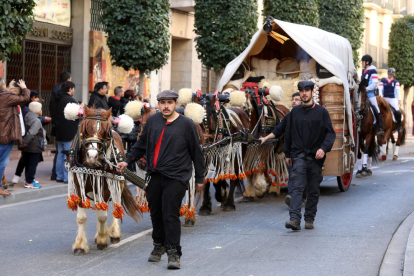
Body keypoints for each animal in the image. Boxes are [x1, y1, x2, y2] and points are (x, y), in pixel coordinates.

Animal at [66, 105, 141, 254]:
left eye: (106, 131)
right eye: (86, 128)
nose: (92, 156)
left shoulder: (105, 188)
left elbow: (103, 215)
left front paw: (102, 239)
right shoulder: (79, 186)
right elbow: (82, 218)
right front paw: (80, 245)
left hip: (118, 181)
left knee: (116, 204)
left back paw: (114, 233)